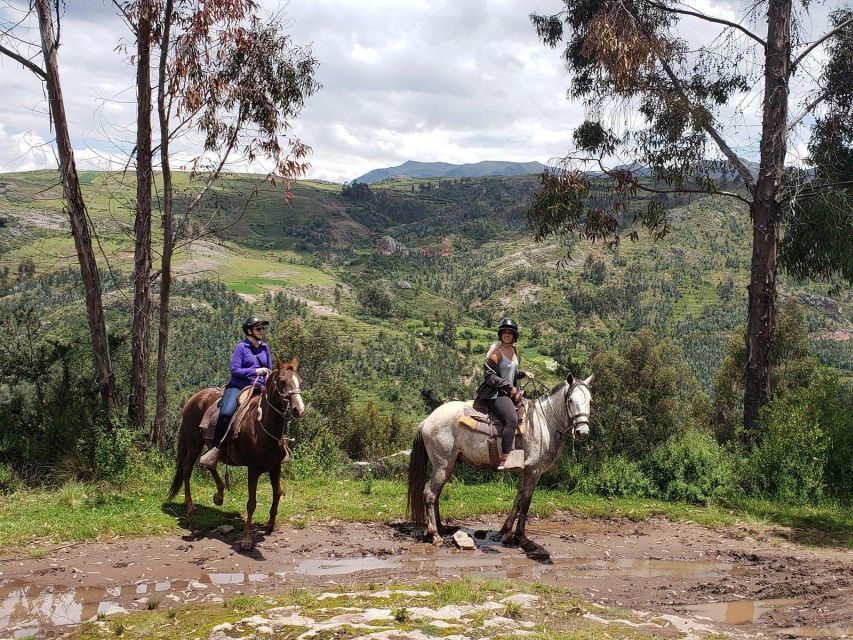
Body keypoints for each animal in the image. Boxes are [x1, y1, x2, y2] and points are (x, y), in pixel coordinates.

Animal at [166, 356, 302, 552]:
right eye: (282, 381)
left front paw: (270, 524)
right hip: (193, 444)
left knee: (209, 463)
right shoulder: (253, 469)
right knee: (187, 470)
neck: (262, 427)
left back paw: (219, 495)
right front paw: (246, 540)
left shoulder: (275, 467)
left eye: (300, 381)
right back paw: (191, 509)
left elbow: (277, 493)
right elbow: (251, 503)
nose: (299, 409)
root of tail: (193, 398)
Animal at [406, 372, 592, 548]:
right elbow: (525, 502)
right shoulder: (534, 470)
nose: (582, 432)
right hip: (442, 465)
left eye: (590, 400)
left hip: (448, 465)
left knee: (436, 493)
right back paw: (434, 534)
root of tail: (426, 421)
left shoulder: (527, 471)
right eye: (570, 400)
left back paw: (441, 527)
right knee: (430, 493)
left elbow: (518, 500)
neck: (544, 423)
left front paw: (504, 532)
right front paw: (521, 537)